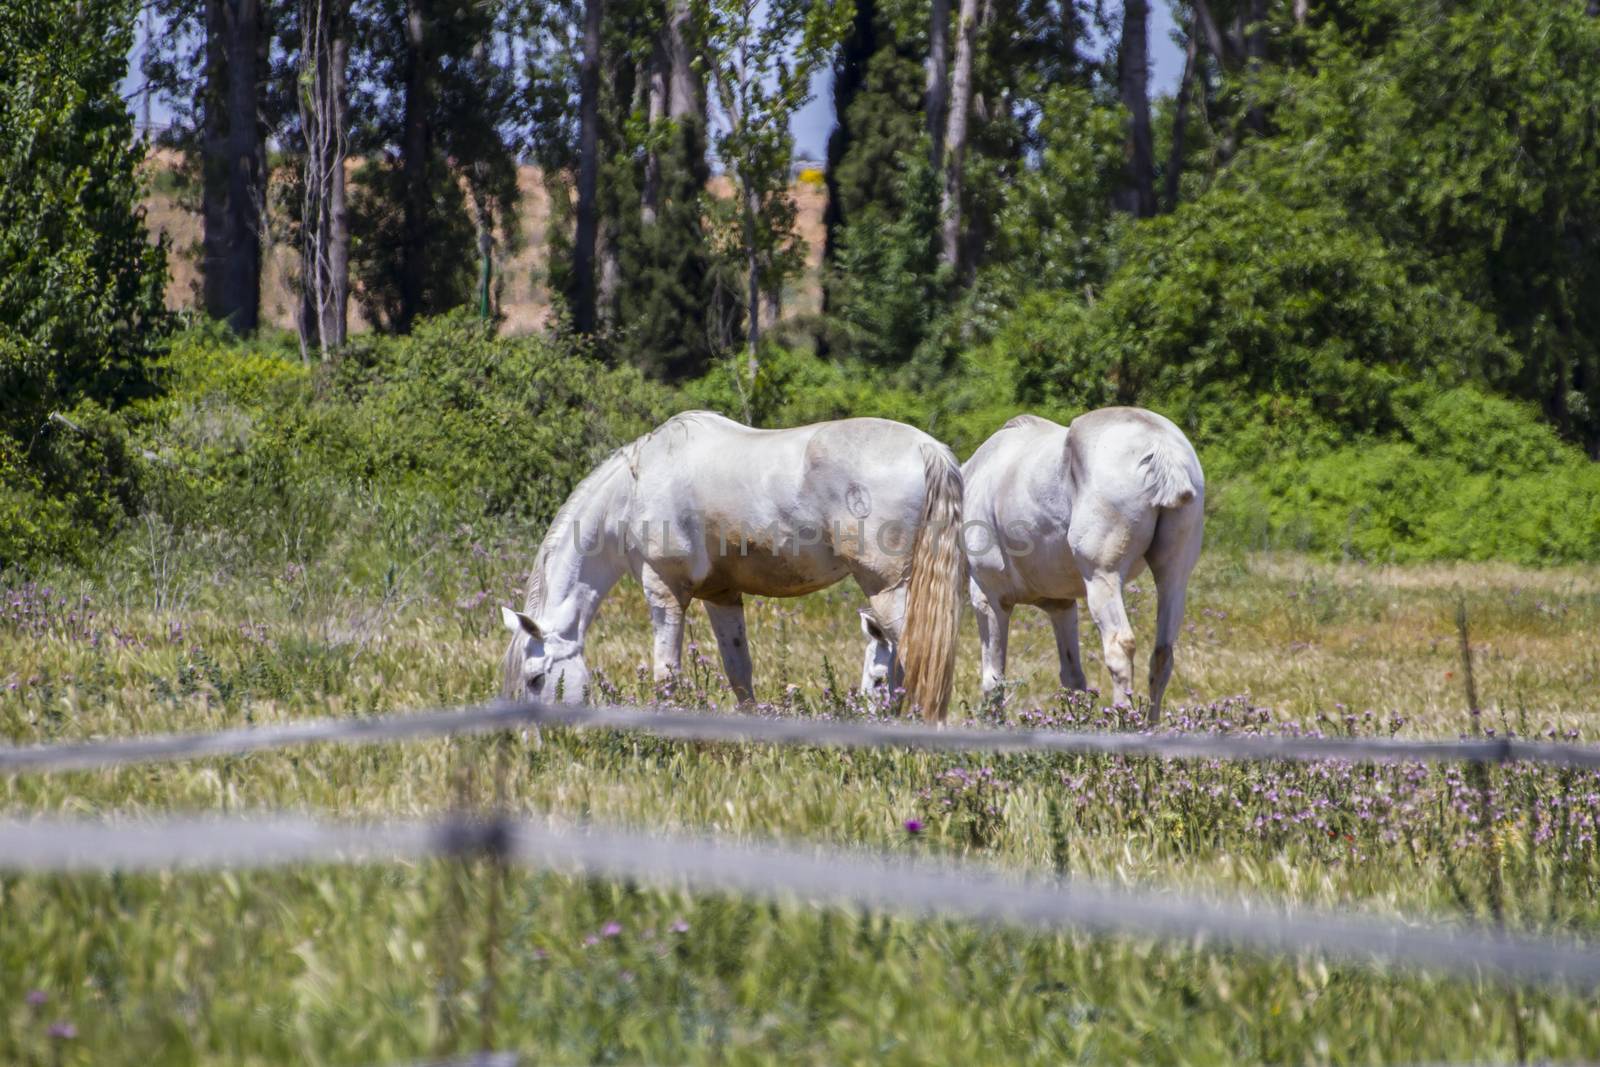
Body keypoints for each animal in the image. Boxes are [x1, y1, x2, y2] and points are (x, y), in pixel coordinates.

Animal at [499, 412, 960, 723]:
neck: (632, 493)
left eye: (536, 679)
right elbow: (739, 672)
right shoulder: (721, 596)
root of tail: (927, 449)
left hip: (887, 590)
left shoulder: (664, 590)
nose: (537, 743)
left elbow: (667, 673)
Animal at [947, 406, 1203, 716]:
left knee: (1120, 649)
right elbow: (1073, 678)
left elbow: (993, 681)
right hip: (1174, 578)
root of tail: (1160, 444)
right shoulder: (1062, 606)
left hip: (1102, 578)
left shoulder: (989, 599)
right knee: (1163, 655)